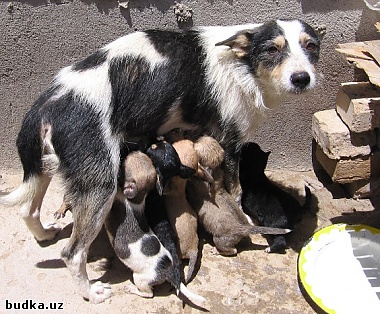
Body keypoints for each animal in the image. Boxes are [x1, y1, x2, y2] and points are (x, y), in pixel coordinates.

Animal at [1, 19, 322, 302]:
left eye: (311, 46)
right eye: (272, 49)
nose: (302, 78)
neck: (241, 63)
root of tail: (47, 104)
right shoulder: (229, 143)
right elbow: (236, 192)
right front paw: (245, 219)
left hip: (47, 165)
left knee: (28, 210)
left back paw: (44, 234)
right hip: (100, 184)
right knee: (72, 253)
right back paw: (90, 293)